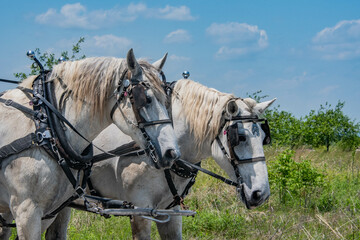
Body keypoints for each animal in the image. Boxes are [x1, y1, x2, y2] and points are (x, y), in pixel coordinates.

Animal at [0, 49, 180, 239]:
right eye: (146, 99)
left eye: (167, 100)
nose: (172, 153)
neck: (45, 125)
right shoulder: (27, 212)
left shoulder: (48, 213)